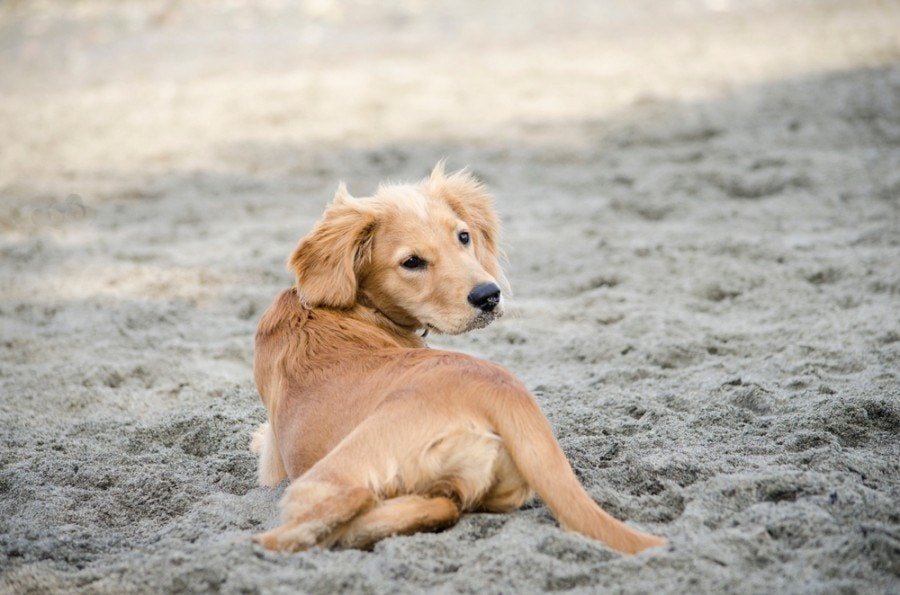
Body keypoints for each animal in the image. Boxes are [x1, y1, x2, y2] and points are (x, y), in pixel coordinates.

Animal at [250, 163, 664, 556]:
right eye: (412, 262)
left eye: (463, 236)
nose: (489, 296)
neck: (340, 307)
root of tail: (500, 391)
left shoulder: (272, 459)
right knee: (440, 505)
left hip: (328, 474)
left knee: (345, 502)